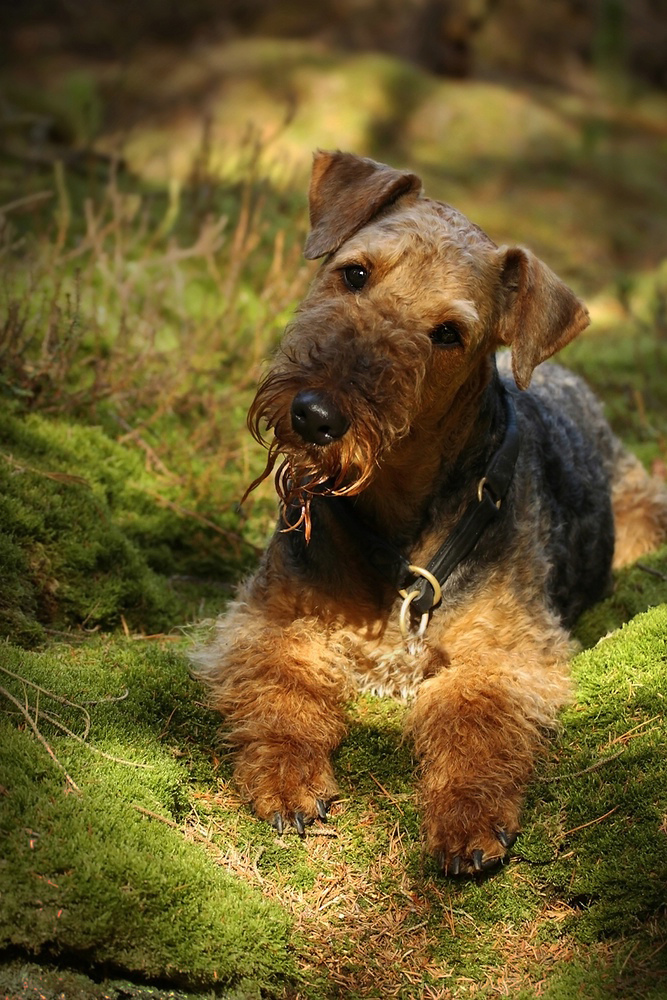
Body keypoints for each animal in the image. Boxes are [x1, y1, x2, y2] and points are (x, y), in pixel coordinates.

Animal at [193, 150, 667, 876]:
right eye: (355, 273)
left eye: (448, 334)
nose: (316, 416)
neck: (396, 526)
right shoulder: (268, 617)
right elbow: (280, 684)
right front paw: (286, 778)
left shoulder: (504, 652)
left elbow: (474, 717)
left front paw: (465, 819)